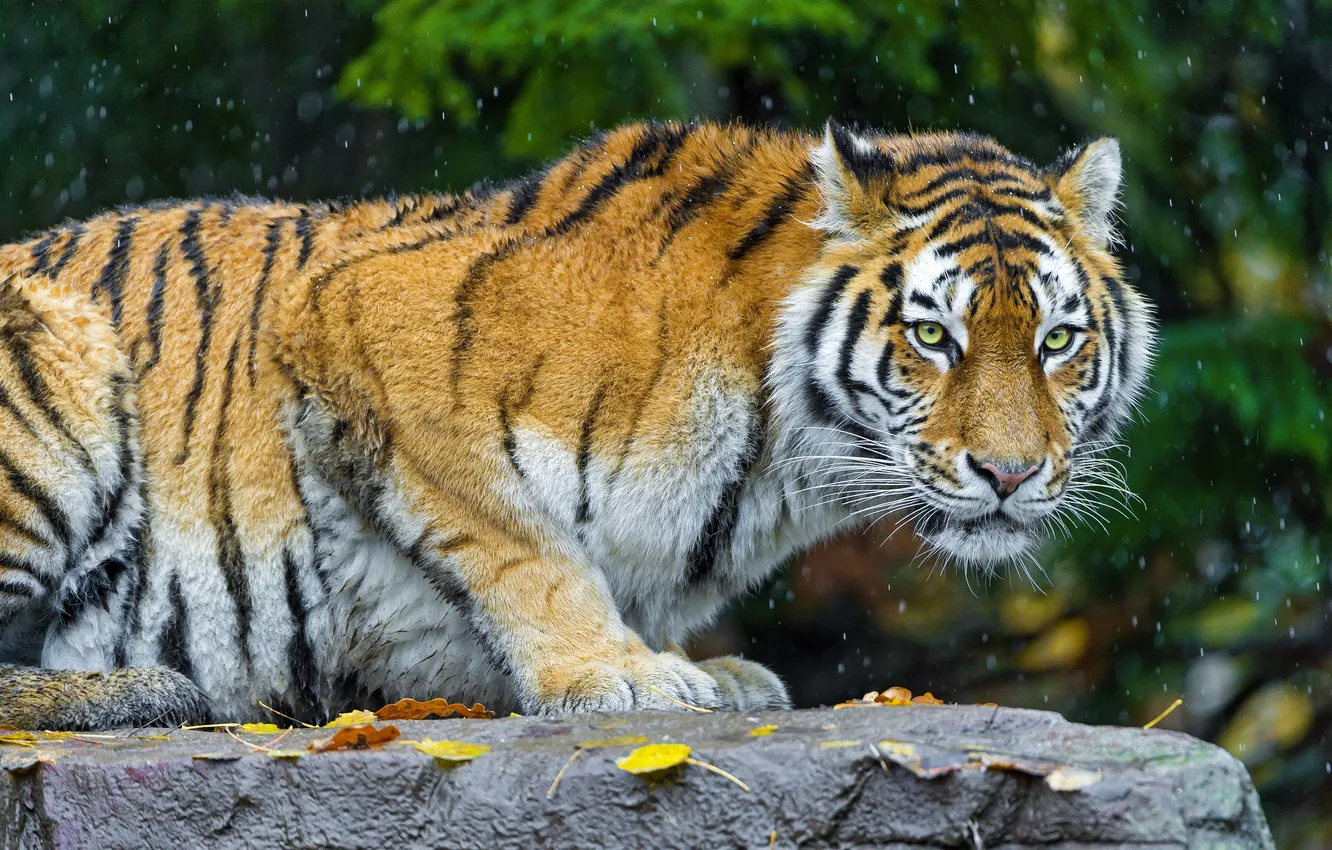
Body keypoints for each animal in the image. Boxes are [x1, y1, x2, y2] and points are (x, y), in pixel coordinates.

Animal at [0, 119, 1153, 729]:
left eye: (1057, 340)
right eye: (932, 335)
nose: (1009, 473)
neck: (775, 466)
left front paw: (709, 667)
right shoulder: (358, 322)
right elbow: (524, 545)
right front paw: (620, 670)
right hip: (53, 372)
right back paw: (132, 690)